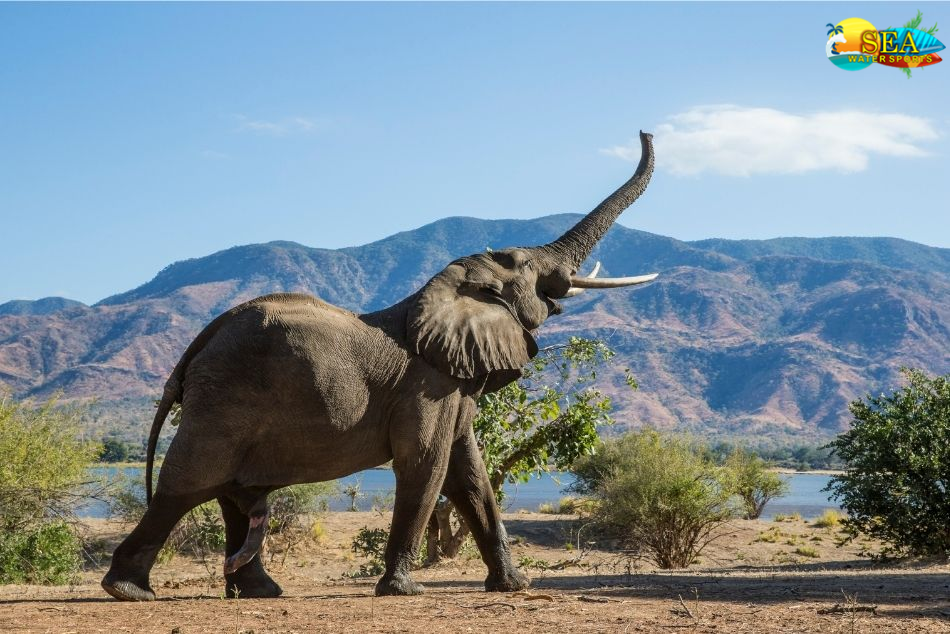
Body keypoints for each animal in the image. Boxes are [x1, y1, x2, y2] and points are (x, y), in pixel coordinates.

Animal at [100, 131, 660, 600]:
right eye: (526, 268)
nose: (646, 131)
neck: (443, 291)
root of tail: (196, 347)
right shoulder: (427, 387)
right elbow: (427, 464)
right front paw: (402, 590)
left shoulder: (452, 385)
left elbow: (470, 474)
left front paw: (514, 586)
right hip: (224, 400)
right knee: (187, 485)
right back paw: (128, 592)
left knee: (230, 494)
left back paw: (260, 592)